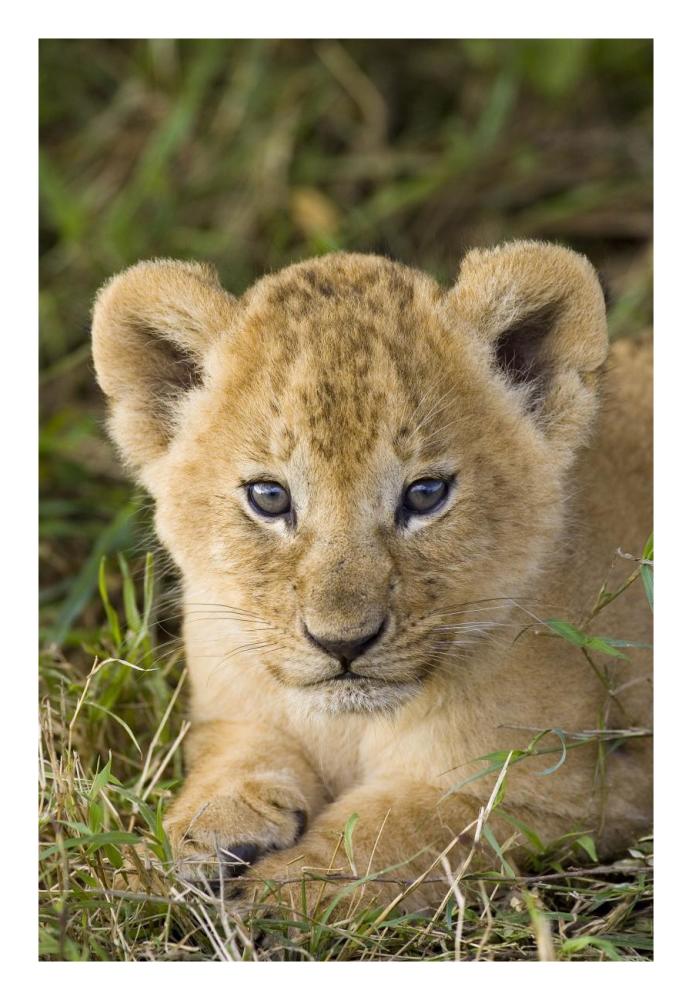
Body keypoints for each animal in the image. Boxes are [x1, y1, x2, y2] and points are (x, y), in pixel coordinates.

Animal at [91, 241, 652, 915]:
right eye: (269, 497)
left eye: (426, 494)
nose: (343, 644)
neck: (348, 727)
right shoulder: (231, 713)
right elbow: (234, 764)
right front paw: (169, 852)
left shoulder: (566, 788)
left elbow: (394, 835)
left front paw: (276, 897)